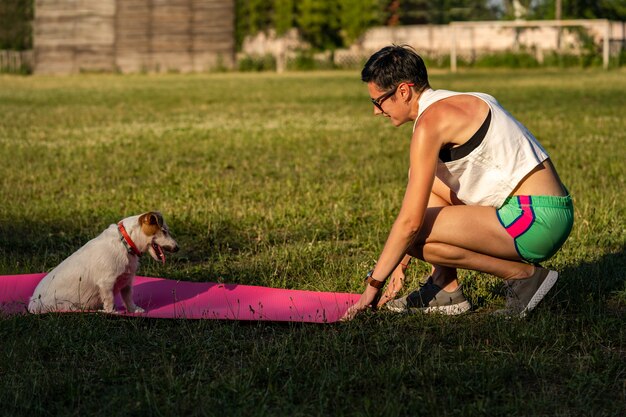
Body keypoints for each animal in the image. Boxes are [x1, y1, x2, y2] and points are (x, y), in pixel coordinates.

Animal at [27, 211, 178, 312]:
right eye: (164, 231)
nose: (178, 248)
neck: (125, 243)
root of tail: (32, 303)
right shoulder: (106, 283)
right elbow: (109, 300)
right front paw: (111, 312)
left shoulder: (126, 282)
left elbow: (128, 298)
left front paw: (134, 310)